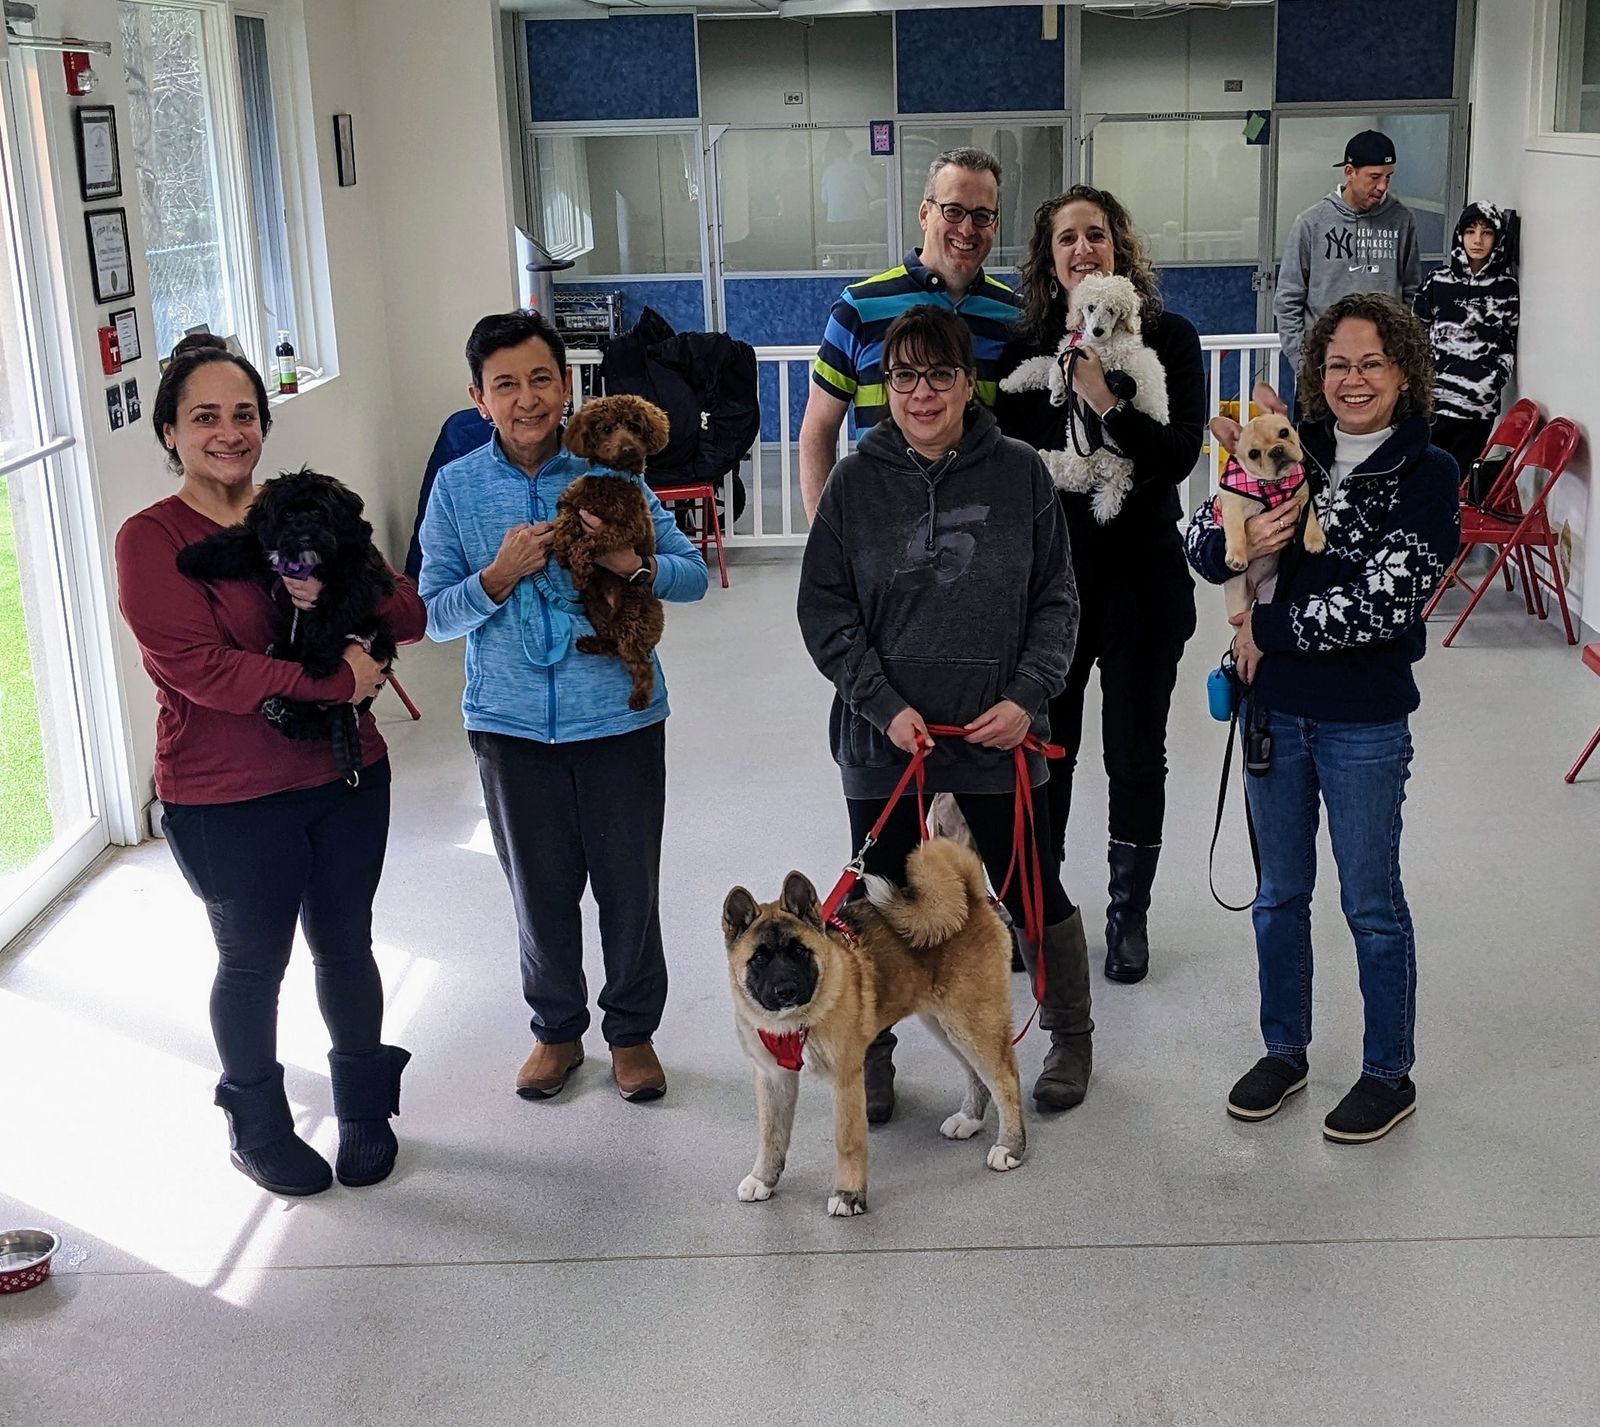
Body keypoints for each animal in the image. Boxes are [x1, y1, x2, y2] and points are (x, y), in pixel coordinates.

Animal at [176, 466, 396, 774]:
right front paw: (191, 556)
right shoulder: (266, 545)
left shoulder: (354, 574)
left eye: (318, 511)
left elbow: (328, 613)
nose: (304, 537)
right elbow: (236, 542)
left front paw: (317, 659)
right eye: (288, 514)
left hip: (379, 635)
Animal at [557, 395, 671, 711]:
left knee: (638, 664)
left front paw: (579, 568)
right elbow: (564, 522)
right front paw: (560, 552)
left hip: (633, 620)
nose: (629, 448)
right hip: (594, 610)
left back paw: (639, 697)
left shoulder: (627, 529)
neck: (611, 478)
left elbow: (589, 541)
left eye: (634, 427)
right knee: (611, 645)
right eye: (606, 429)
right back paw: (590, 643)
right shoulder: (572, 501)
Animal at [722, 838, 1025, 1217]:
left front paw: (849, 1195)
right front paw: (763, 1178)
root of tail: (970, 898)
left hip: (973, 1021)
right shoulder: (772, 1078)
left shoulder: (846, 1079)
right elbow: (770, 1135)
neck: (797, 1021)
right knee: (976, 1073)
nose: (786, 991)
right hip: (946, 1024)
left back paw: (1011, 1147)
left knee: (1005, 1079)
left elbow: (848, 1141)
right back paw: (969, 1119)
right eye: (759, 958)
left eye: (799, 952)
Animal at [999, 272, 1170, 523]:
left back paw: (1045, 459)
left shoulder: (1103, 360)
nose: (1098, 330)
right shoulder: (1067, 353)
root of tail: (1119, 476)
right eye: (1090, 307)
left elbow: (1059, 363)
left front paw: (1057, 387)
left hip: (1098, 446)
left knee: (1077, 474)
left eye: (1112, 310)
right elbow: (1039, 365)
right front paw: (1011, 382)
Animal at [1210, 412, 1327, 621]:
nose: (1277, 450)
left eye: (1284, 432)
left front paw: (1314, 539)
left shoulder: (1303, 497)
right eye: (1253, 454)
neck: (1273, 484)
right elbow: (1237, 532)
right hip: (1237, 599)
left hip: (1271, 592)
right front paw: (1237, 555)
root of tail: (1256, 589)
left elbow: (1310, 518)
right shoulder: (1232, 506)